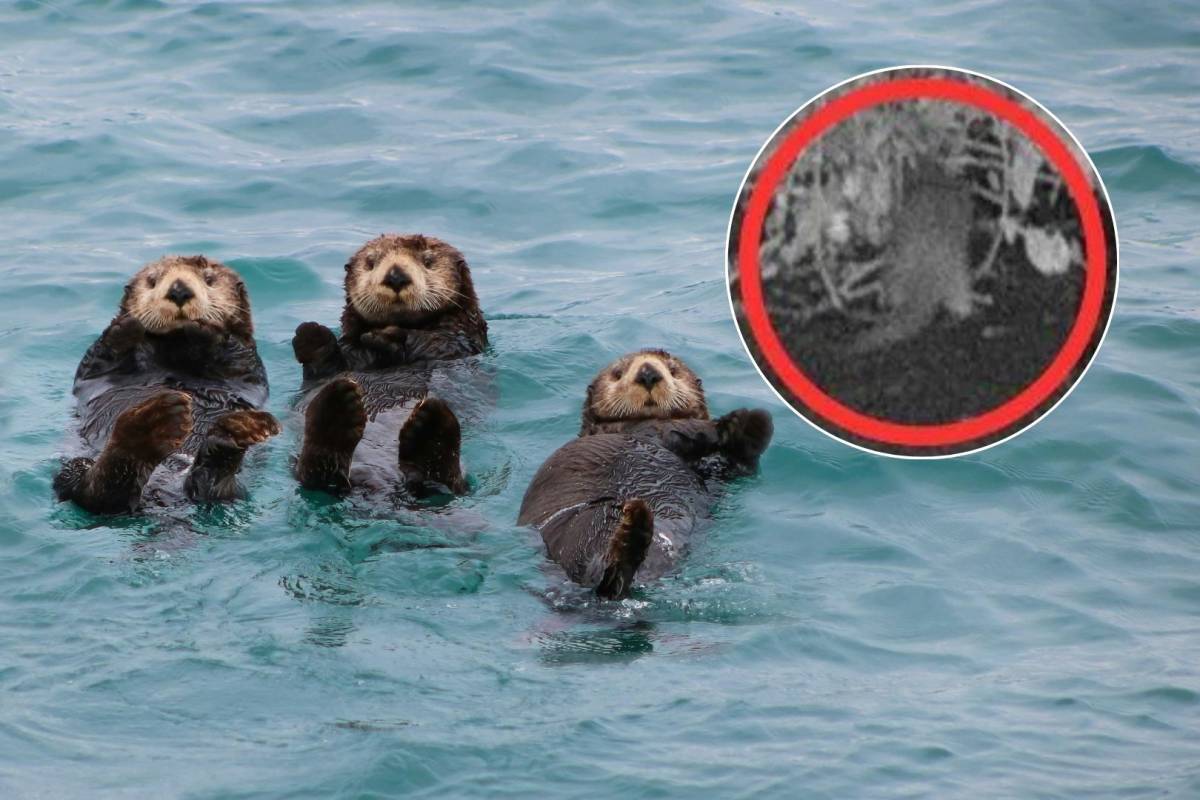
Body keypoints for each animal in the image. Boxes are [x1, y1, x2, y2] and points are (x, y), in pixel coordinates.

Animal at [54, 255, 279, 514]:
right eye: (152, 280)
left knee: (211, 490)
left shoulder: (248, 365)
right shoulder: (94, 369)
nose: (179, 290)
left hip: (236, 491)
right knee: (94, 493)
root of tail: (163, 493)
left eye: (209, 279)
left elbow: (236, 355)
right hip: (73, 467)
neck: (175, 351)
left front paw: (204, 329)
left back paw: (227, 438)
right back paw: (151, 426)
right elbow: (98, 359)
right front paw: (126, 326)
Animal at [291, 234, 488, 497]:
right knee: (316, 475)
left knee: (448, 483)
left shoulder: (458, 342)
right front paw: (311, 335)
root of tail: (378, 482)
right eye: (371, 262)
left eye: (428, 261)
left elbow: (433, 342)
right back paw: (337, 408)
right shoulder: (346, 358)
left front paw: (387, 336)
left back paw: (430, 428)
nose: (395, 276)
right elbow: (326, 367)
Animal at [518, 350, 773, 599]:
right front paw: (735, 423)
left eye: (673, 370)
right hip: (581, 529)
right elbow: (681, 429)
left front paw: (748, 426)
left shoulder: (716, 472)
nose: (648, 373)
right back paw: (631, 532)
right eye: (618, 373)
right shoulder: (645, 429)